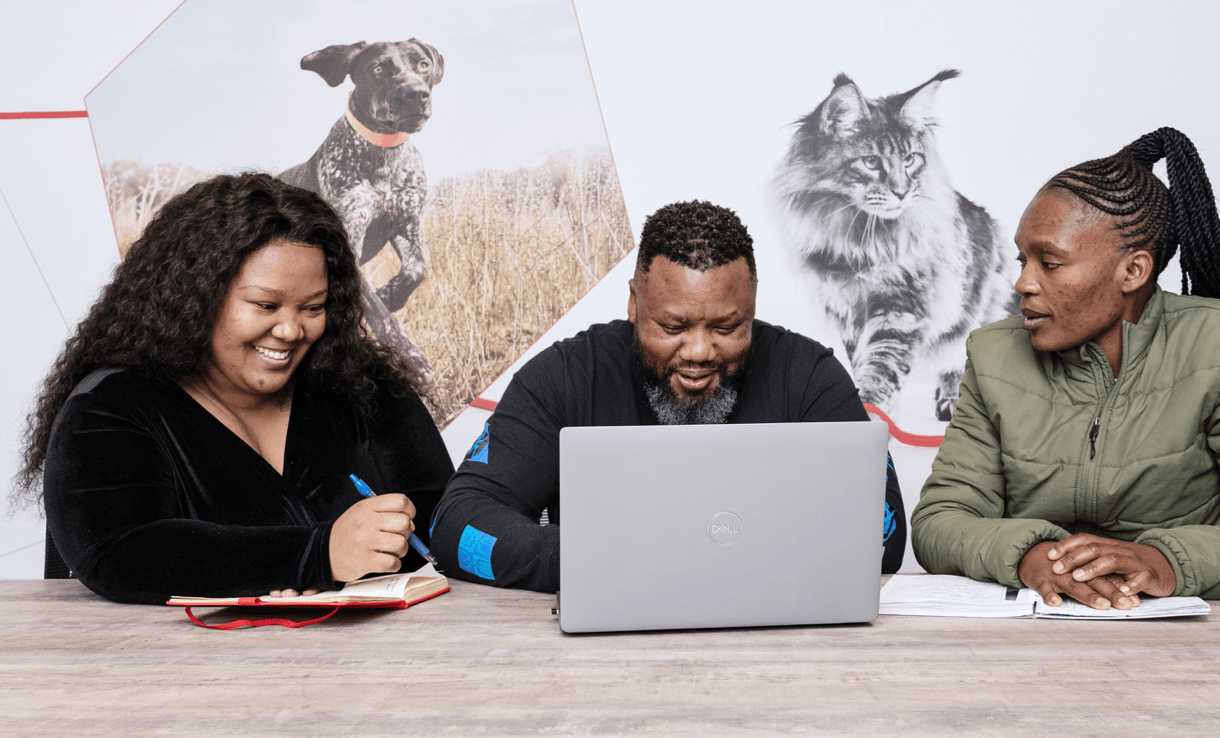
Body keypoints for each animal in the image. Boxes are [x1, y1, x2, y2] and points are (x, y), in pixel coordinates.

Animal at [766, 69, 1015, 419]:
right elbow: (859, 365)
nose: (902, 192)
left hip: (974, 310)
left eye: (910, 159)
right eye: (871, 162)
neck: (857, 241)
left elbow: (881, 368)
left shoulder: (900, 309)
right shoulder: (846, 312)